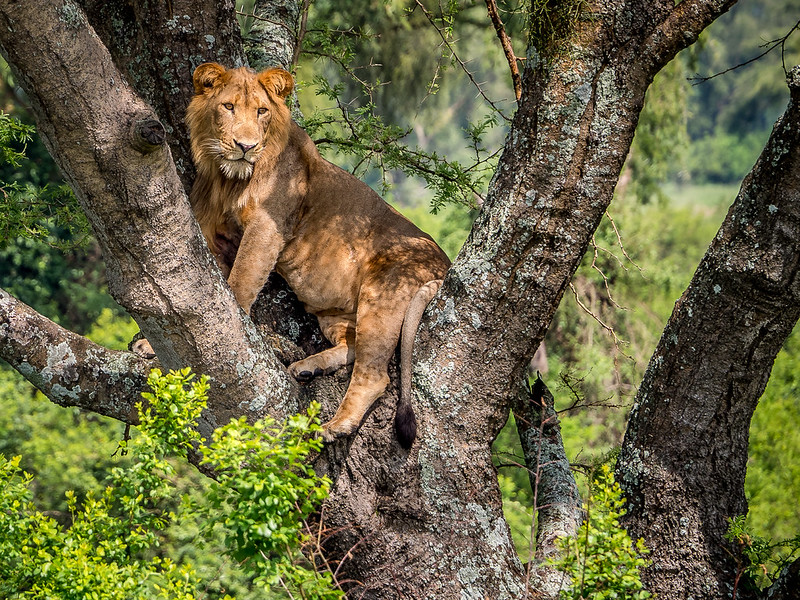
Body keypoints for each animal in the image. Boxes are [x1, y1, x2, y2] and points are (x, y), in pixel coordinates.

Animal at [182, 63, 450, 447]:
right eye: (228, 107)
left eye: (261, 111)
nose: (246, 147)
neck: (227, 179)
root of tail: (445, 264)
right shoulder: (209, 229)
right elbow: (202, 288)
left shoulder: (267, 228)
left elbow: (239, 283)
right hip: (335, 314)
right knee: (352, 344)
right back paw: (309, 367)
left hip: (385, 290)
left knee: (375, 374)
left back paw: (335, 425)